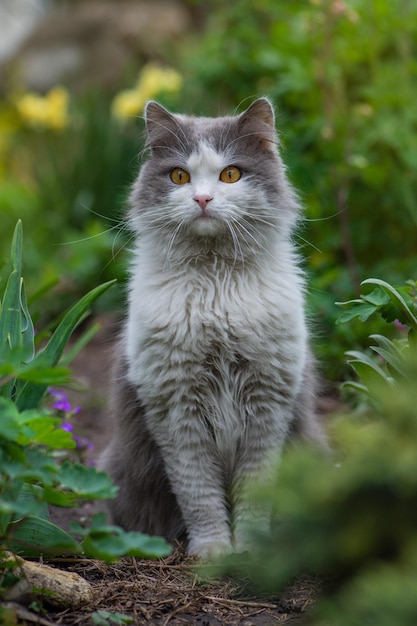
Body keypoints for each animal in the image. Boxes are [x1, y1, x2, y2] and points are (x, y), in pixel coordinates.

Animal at [98, 97, 324, 556]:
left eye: (231, 174)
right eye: (179, 176)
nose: (202, 198)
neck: (215, 284)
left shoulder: (267, 402)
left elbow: (255, 490)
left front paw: (251, 547)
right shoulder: (175, 407)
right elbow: (199, 494)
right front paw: (214, 551)